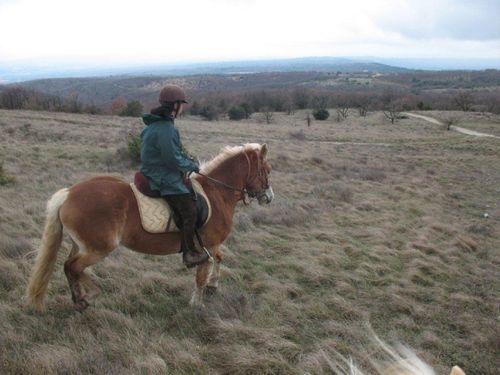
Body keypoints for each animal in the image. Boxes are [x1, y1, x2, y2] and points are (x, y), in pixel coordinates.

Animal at [25, 143, 274, 312]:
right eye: (268, 170)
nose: (269, 197)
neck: (216, 192)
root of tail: (69, 194)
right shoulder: (208, 245)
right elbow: (202, 275)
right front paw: (197, 303)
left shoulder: (211, 246)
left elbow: (219, 259)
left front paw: (213, 287)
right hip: (99, 247)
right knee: (73, 267)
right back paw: (90, 294)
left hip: (80, 245)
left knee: (69, 267)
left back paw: (80, 300)